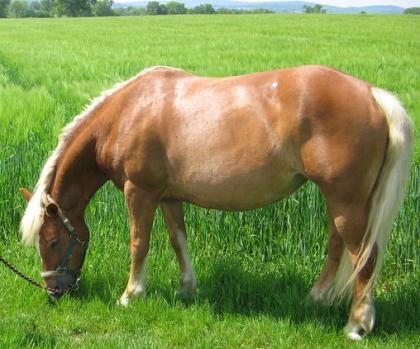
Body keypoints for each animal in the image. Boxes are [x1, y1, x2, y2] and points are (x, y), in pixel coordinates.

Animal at [18, 64, 412, 338]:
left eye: (52, 241)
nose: (52, 291)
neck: (127, 112)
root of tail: (372, 93)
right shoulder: (168, 197)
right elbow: (178, 240)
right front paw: (186, 289)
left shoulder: (139, 192)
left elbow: (139, 243)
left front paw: (131, 295)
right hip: (340, 201)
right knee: (337, 246)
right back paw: (316, 298)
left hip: (348, 202)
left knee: (365, 257)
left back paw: (357, 325)